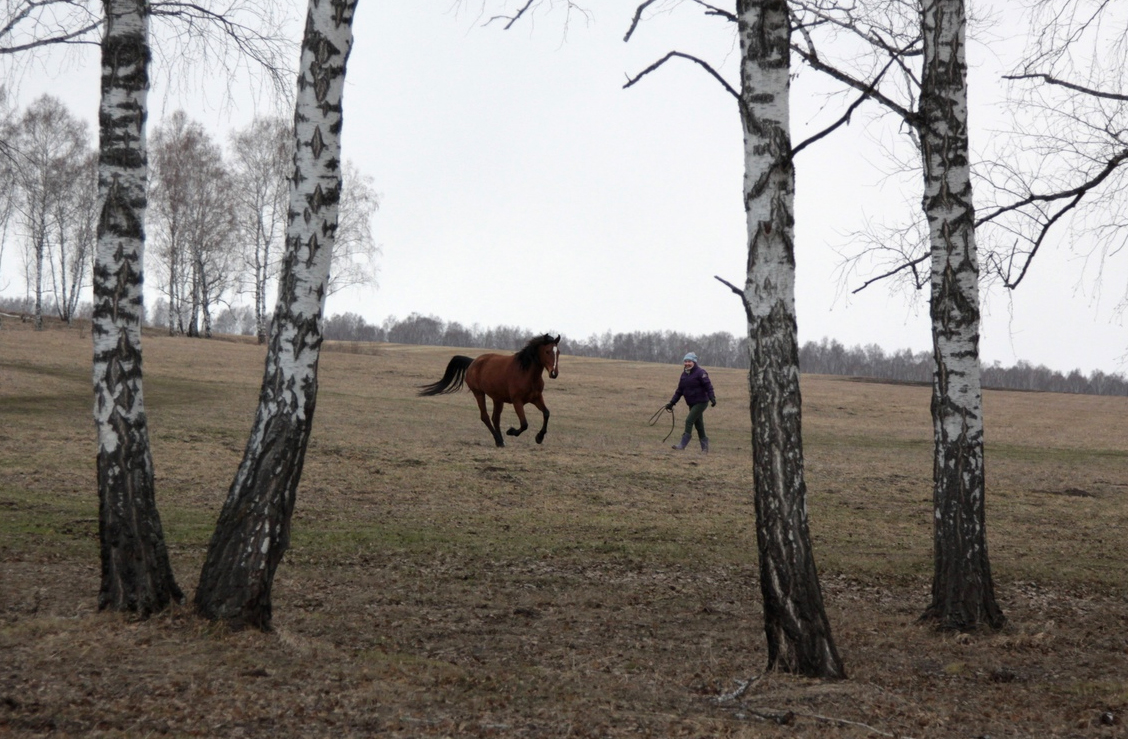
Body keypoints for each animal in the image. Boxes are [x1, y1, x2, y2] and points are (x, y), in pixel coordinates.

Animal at [419, 333, 559, 444]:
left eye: (558, 352)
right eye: (547, 351)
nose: (554, 373)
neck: (526, 373)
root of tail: (473, 362)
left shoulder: (536, 398)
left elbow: (546, 413)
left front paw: (539, 437)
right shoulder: (517, 401)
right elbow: (524, 424)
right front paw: (511, 431)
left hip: (497, 398)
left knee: (495, 418)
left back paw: (500, 441)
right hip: (479, 393)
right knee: (485, 417)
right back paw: (499, 440)